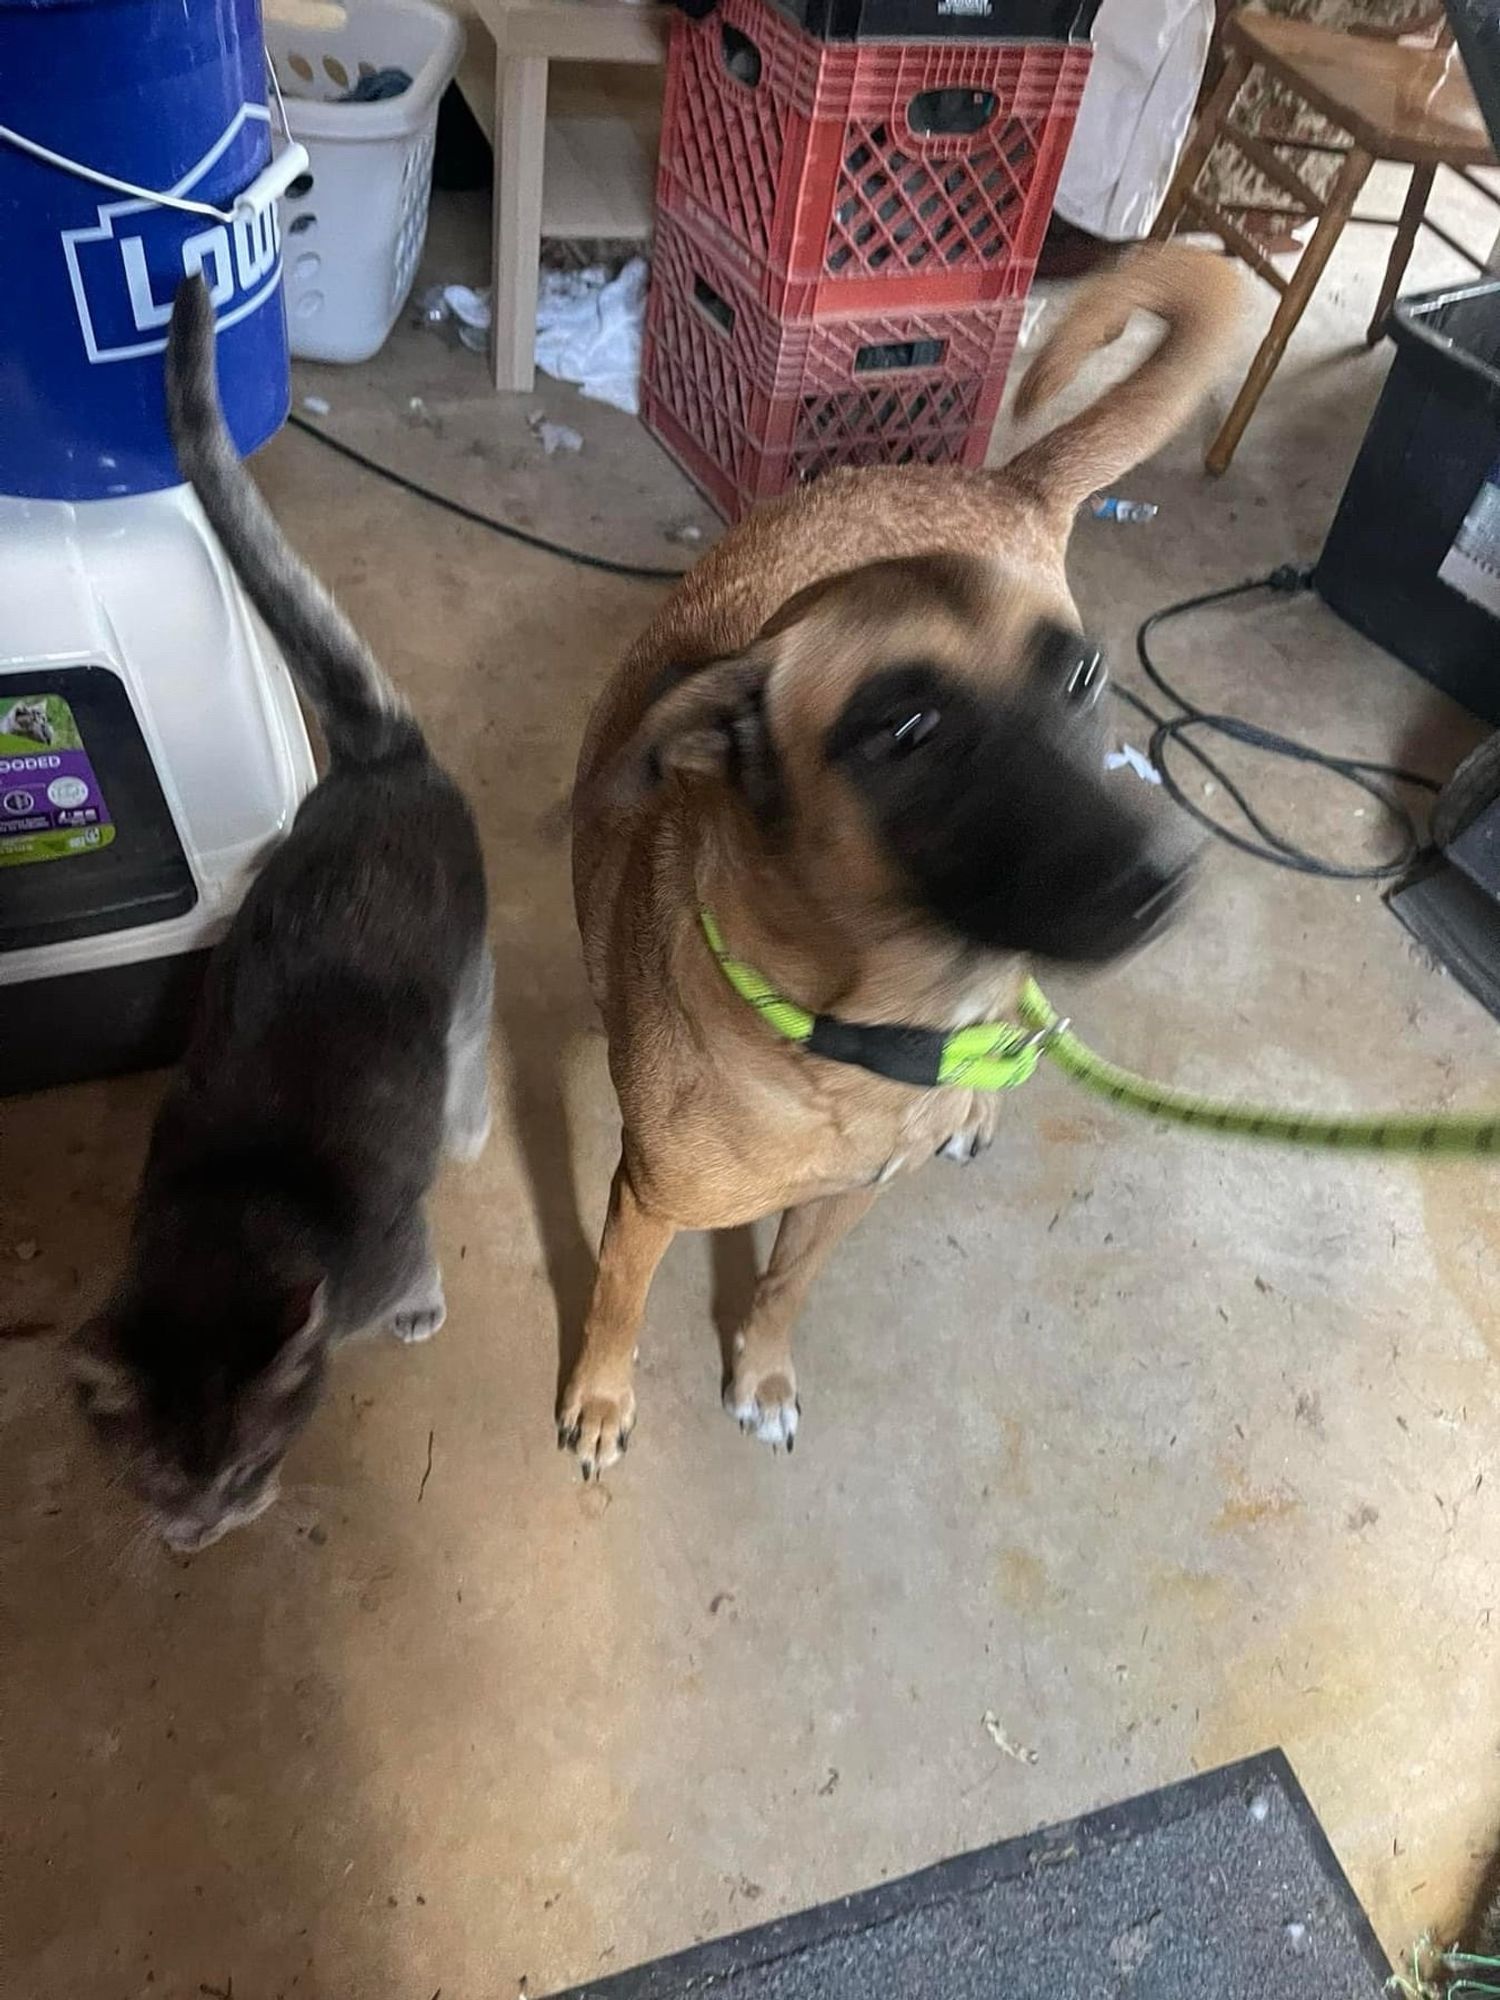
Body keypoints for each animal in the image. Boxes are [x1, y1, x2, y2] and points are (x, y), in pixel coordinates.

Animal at [70, 282, 494, 1552]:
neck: (234, 1210)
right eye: (158, 1481)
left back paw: (466, 1124)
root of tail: (382, 756)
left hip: (469, 969)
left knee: (473, 1042)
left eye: (254, 1462)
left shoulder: (391, 1247)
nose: (204, 1532)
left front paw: (422, 1312)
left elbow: (417, 1270)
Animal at [564, 242, 1248, 1480]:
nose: (1169, 876)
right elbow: (616, 1306)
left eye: (1082, 677)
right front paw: (599, 1399)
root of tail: (1002, 486)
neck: (853, 1035)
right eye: (906, 729)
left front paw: (762, 1371)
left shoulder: (846, 1200)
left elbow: (785, 1284)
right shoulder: (642, 1202)